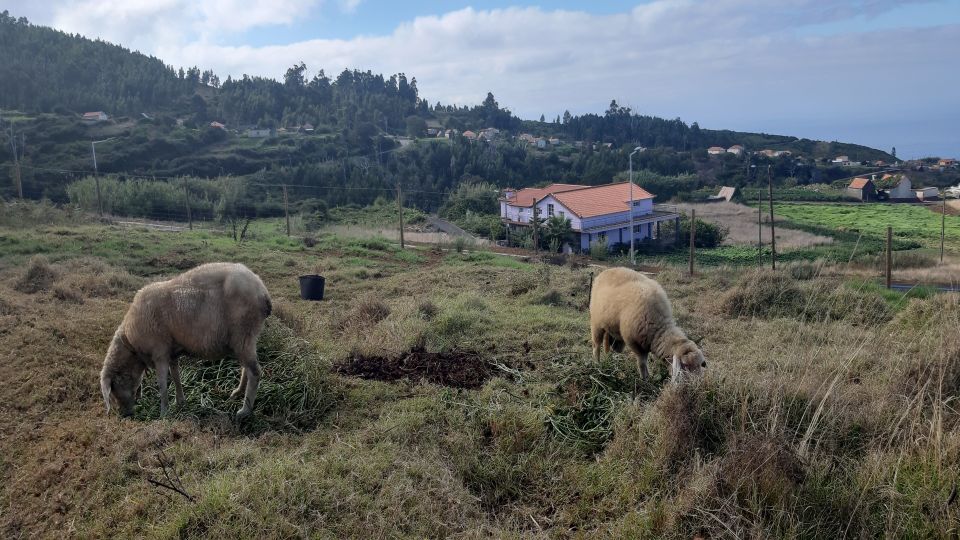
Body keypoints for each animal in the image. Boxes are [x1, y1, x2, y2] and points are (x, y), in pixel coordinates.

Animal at [100, 262, 272, 418]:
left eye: (114, 387)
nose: (125, 415)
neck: (132, 344)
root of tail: (262, 290)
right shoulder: (171, 352)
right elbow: (175, 375)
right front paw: (180, 401)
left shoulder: (159, 352)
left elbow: (162, 384)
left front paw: (164, 413)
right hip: (244, 338)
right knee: (246, 368)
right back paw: (238, 392)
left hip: (244, 333)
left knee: (255, 372)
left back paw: (245, 410)